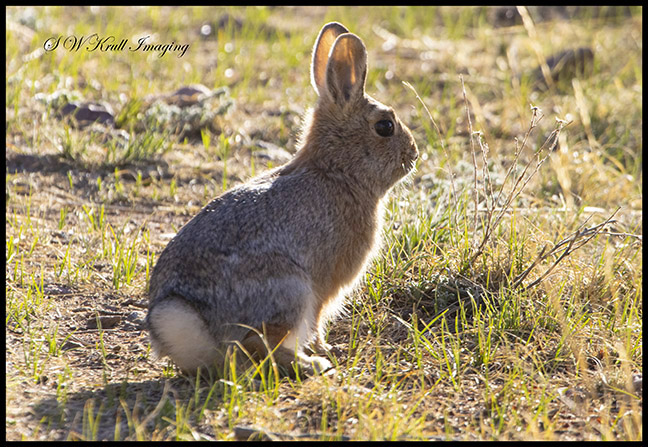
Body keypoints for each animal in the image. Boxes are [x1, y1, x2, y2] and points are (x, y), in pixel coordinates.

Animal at [145, 21, 418, 377]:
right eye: (385, 126)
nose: (414, 154)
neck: (335, 171)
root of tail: (198, 324)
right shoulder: (324, 284)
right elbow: (318, 320)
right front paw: (325, 348)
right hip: (290, 289)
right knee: (260, 345)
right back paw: (313, 364)